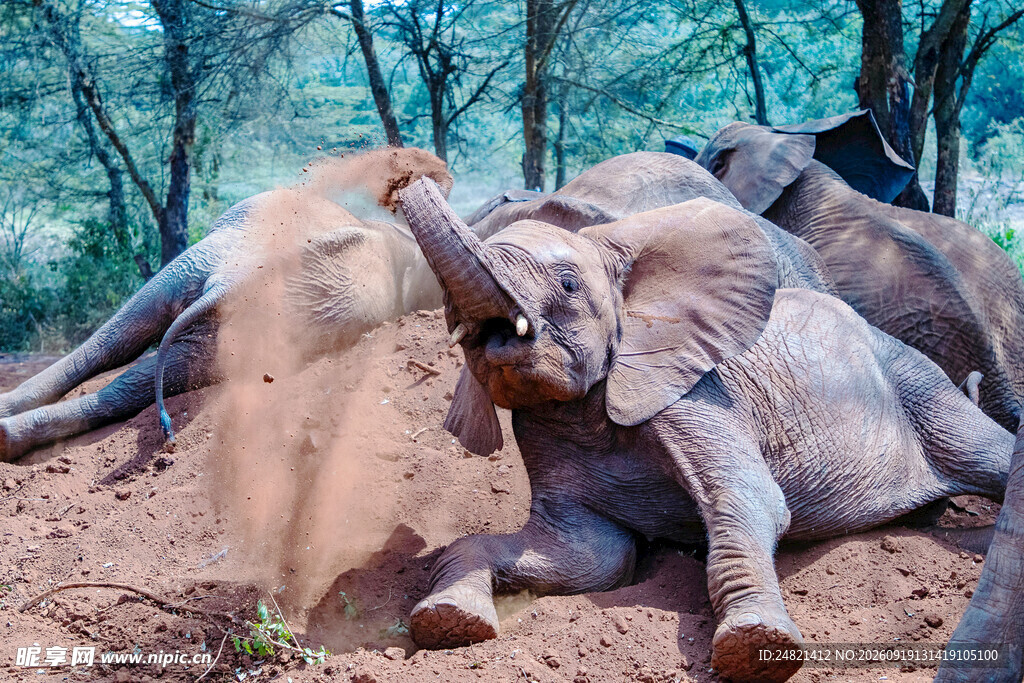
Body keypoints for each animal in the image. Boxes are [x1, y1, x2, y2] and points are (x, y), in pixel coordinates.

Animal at [396, 176, 1014, 683]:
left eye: (568, 285)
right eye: (448, 307)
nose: (406, 177)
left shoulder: (696, 394)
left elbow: (747, 498)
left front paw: (754, 648)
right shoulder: (546, 432)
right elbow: (590, 554)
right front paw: (447, 621)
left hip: (918, 382)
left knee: (988, 455)